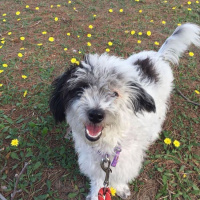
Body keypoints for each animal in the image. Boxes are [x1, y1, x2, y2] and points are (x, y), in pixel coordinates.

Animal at [49, 23, 200, 200]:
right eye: (81, 89)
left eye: (115, 93)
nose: (95, 114)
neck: (107, 141)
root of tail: (156, 56)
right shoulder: (93, 160)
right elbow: (99, 179)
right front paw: (97, 194)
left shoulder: (126, 157)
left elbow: (120, 174)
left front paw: (120, 187)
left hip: (161, 103)